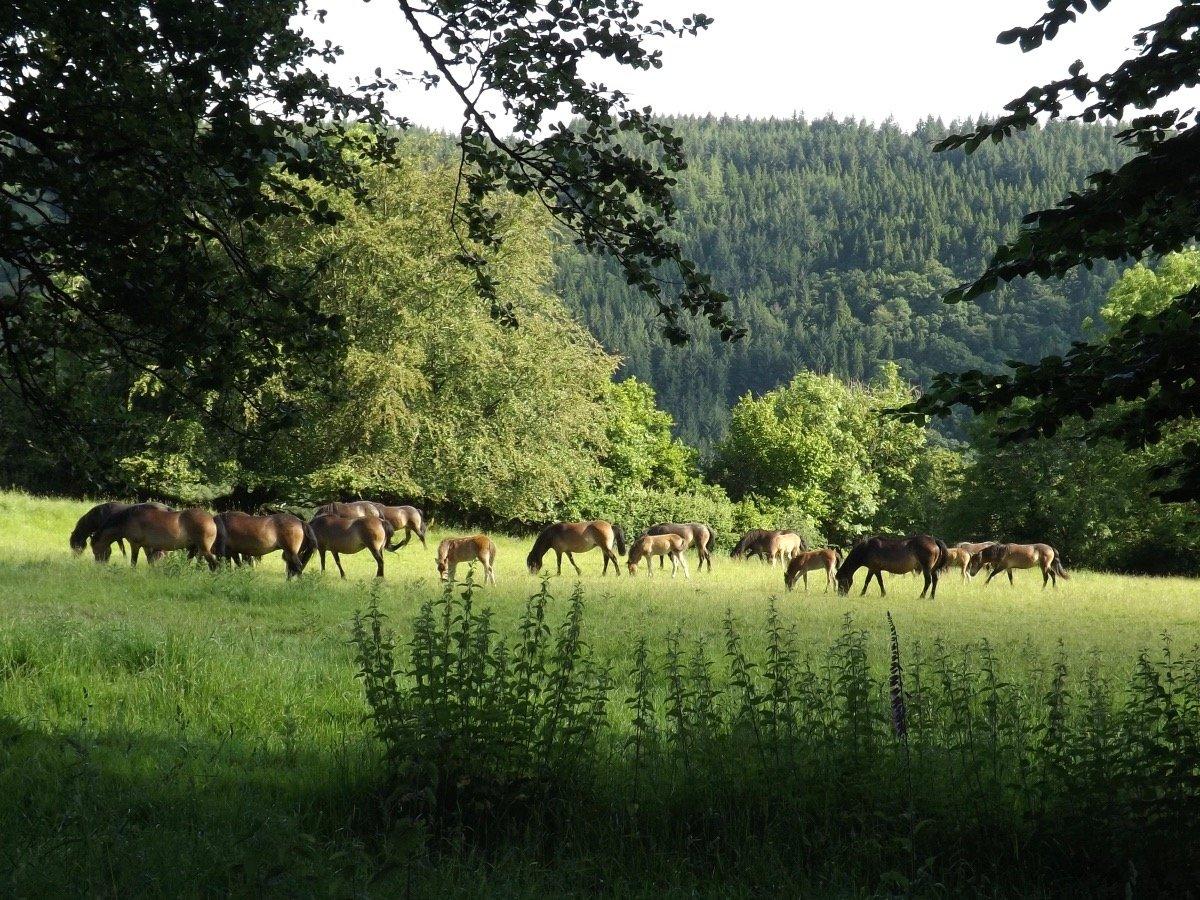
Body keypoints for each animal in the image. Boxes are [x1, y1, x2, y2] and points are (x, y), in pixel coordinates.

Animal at [90, 508, 220, 571]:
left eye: (95, 549)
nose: (98, 565)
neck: (127, 519)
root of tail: (211, 518)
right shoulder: (147, 546)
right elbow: (151, 562)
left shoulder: (135, 545)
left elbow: (133, 562)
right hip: (195, 549)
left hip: (203, 549)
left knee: (214, 565)